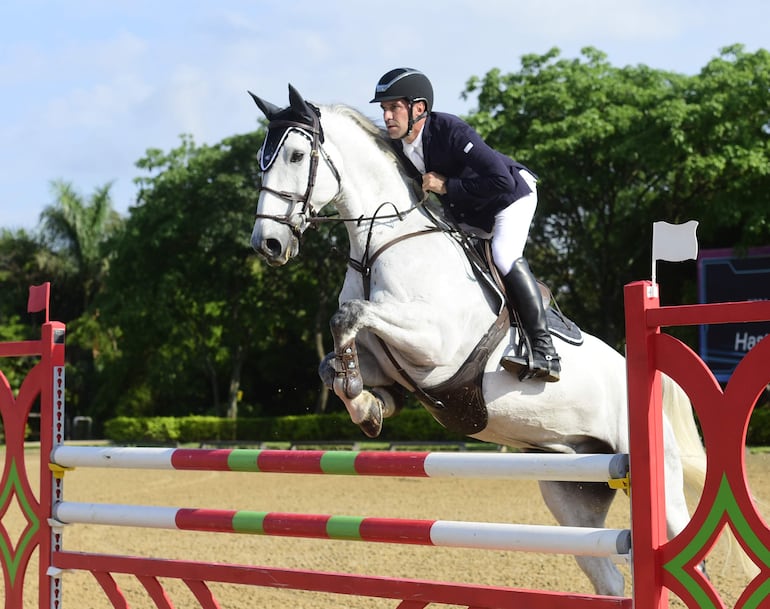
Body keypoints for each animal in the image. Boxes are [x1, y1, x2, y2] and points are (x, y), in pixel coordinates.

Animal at [249, 84, 704, 592]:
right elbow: (334, 361)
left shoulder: (434, 344)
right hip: (571, 486)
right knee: (608, 574)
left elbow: (347, 315)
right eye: (261, 161)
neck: (380, 243)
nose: (266, 245)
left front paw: (361, 398)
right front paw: (368, 403)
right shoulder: (385, 357)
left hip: (656, 479)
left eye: (295, 155)